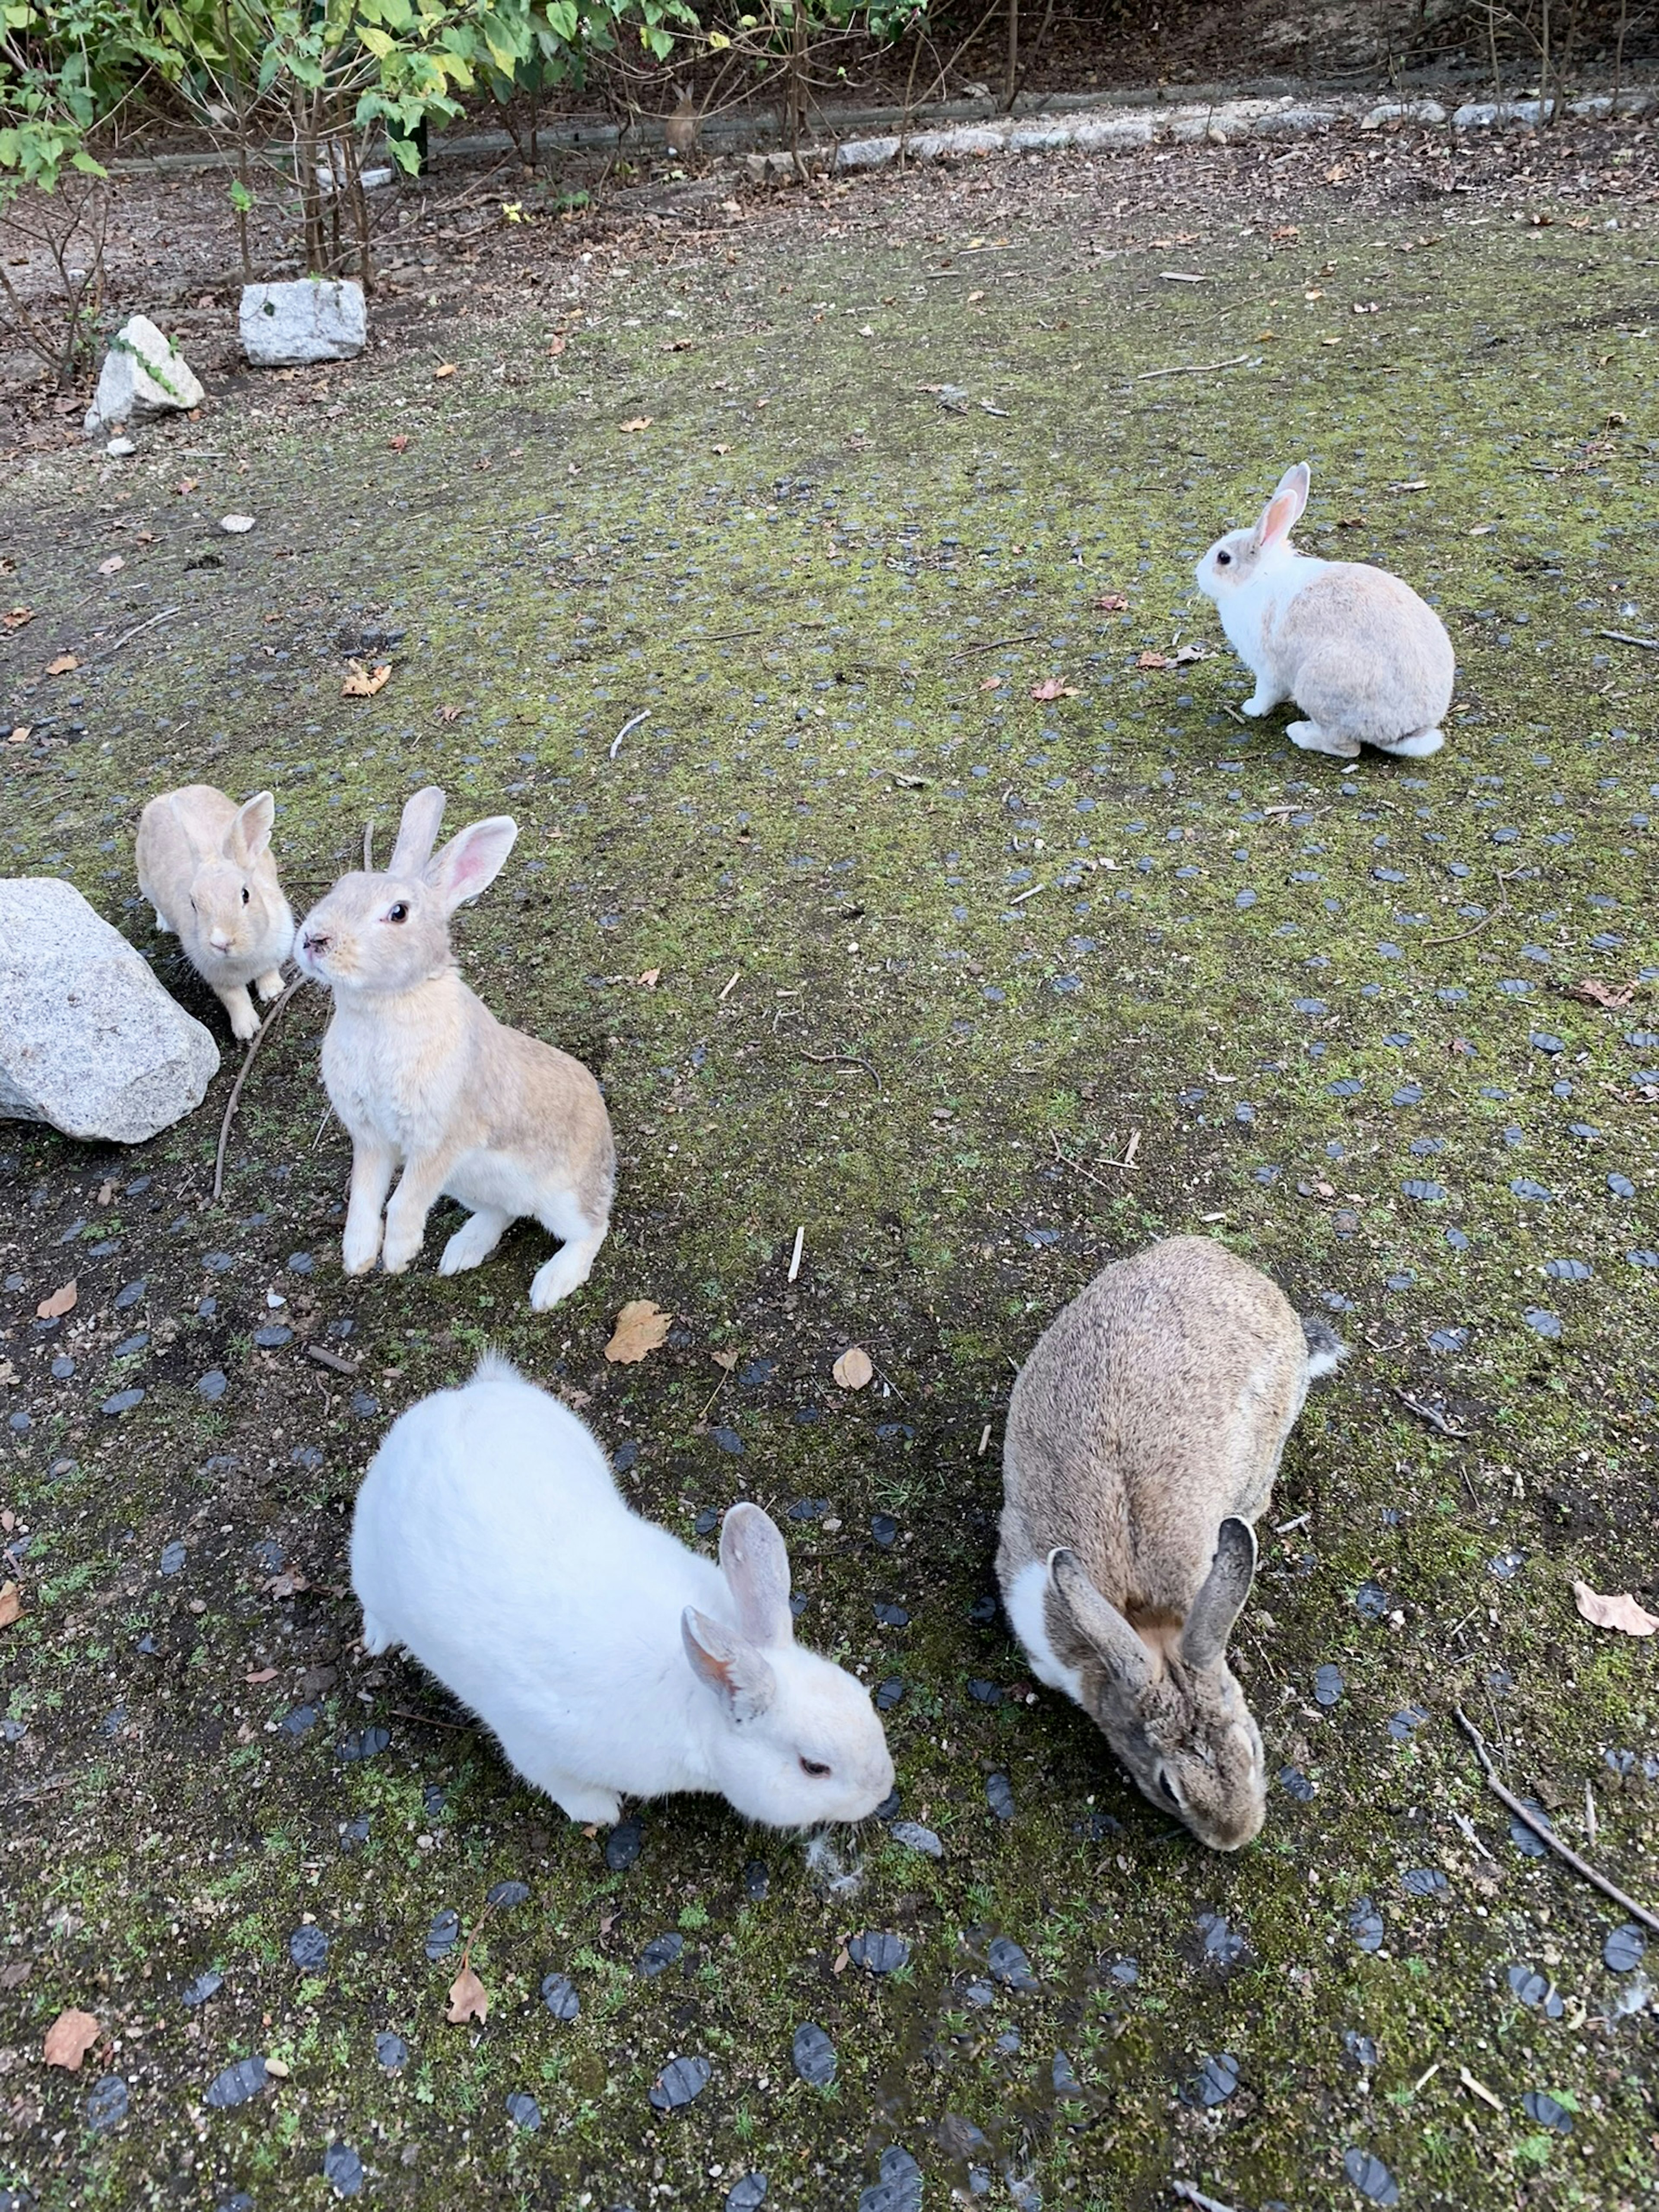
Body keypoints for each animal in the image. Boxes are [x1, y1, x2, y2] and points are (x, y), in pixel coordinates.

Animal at [137, 787, 296, 1044]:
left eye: (245, 895)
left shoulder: (275, 952)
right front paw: (246, 1030)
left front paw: (273, 992)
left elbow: (268, 973)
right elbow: (235, 999)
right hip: (145, 881)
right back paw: (163, 924)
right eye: (193, 904)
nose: (221, 943)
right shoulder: (217, 977)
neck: (243, 957)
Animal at [294, 787, 619, 1309]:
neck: (386, 1003)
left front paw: (398, 1255)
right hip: (469, 1185)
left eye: (399, 912)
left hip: (561, 1194)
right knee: (502, 1213)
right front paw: (358, 1257)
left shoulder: (441, 1140)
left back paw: (550, 1284)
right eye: (343, 885)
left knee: (590, 1229)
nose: (313, 940)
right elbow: (364, 1197)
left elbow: (402, 1200)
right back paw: (461, 1252)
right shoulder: (372, 1139)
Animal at [349, 1362, 898, 1831]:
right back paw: (378, 1638)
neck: (695, 1695)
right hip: (368, 1562)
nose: (883, 1789)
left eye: (866, 1698)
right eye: (814, 1767)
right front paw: (602, 1811)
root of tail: (456, 1401)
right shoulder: (537, 1748)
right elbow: (561, 1783)